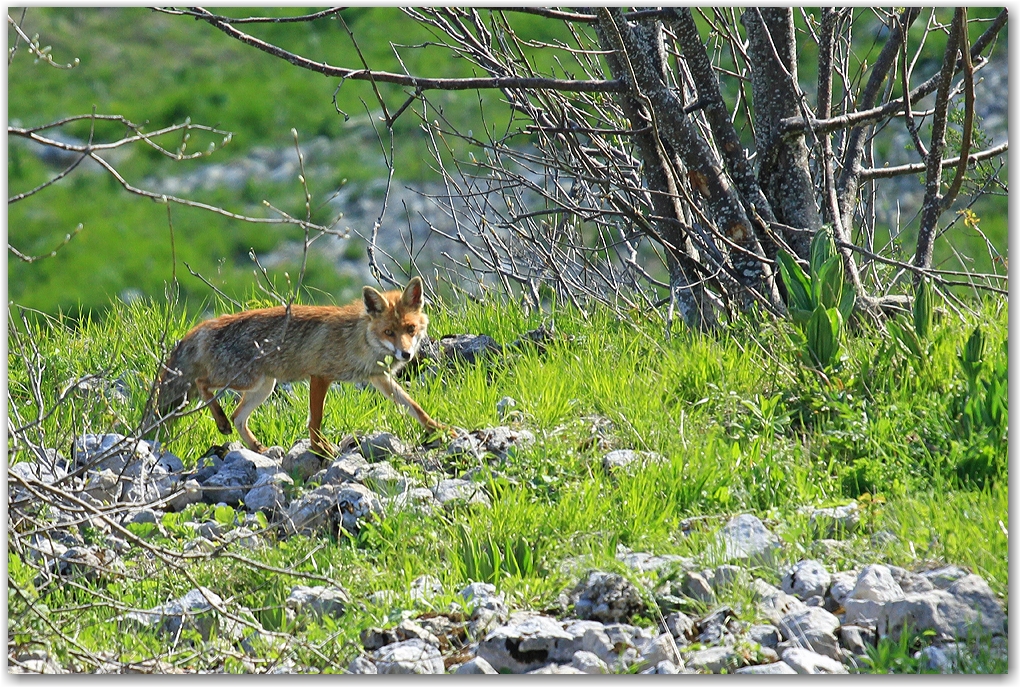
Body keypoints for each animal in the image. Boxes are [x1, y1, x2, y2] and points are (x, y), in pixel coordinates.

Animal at [153, 275, 440, 452]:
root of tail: (203, 326)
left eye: (410, 329)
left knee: (238, 417)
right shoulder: (320, 376)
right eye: (388, 332)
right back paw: (221, 422)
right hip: (245, 380)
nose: (406, 355)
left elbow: (414, 407)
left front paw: (439, 430)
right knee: (203, 384)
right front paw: (320, 450)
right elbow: (316, 420)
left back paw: (256, 447)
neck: (359, 340)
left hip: (263, 387)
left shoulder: (378, 377)